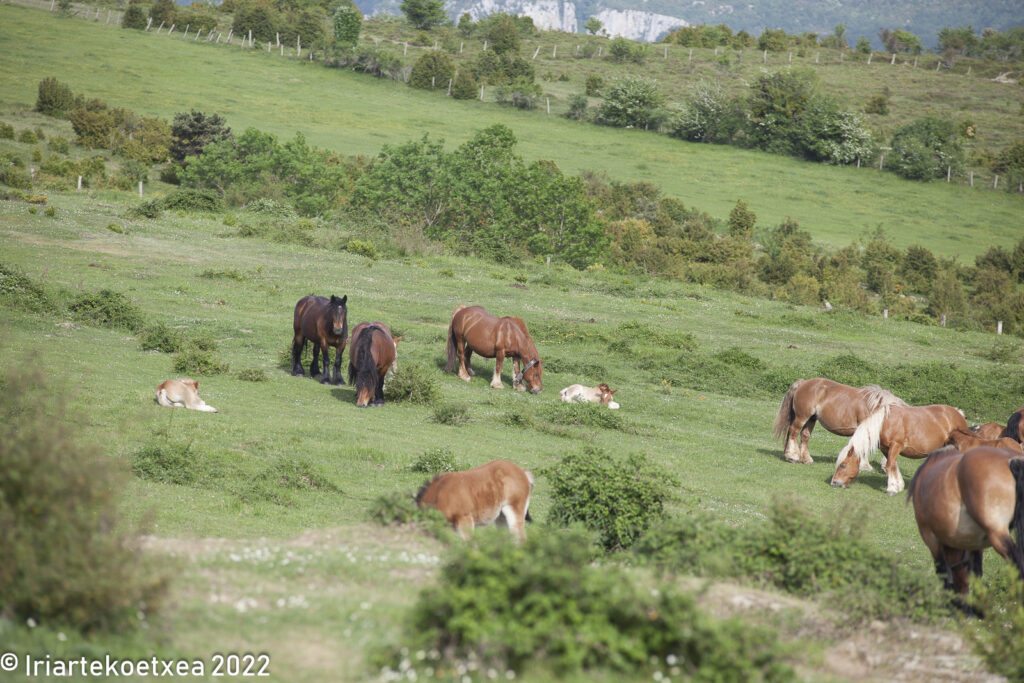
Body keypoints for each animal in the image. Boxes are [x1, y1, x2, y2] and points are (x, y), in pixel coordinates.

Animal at [770, 376, 909, 466]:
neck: (876, 407)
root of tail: (804, 383)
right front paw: (865, 466)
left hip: (811, 419)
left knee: (804, 436)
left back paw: (805, 459)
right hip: (802, 417)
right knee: (793, 432)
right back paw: (792, 456)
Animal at [831, 403, 966, 493]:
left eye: (843, 465)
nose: (834, 482)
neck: (884, 423)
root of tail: (959, 414)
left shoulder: (896, 446)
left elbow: (889, 465)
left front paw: (891, 488)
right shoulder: (886, 448)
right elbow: (893, 465)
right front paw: (898, 485)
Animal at [905, 444, 1024, 598]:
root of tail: (1012, 460)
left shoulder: (931, 539)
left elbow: (945, 576)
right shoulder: (974, 545)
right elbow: (976, 575)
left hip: (997, 535)